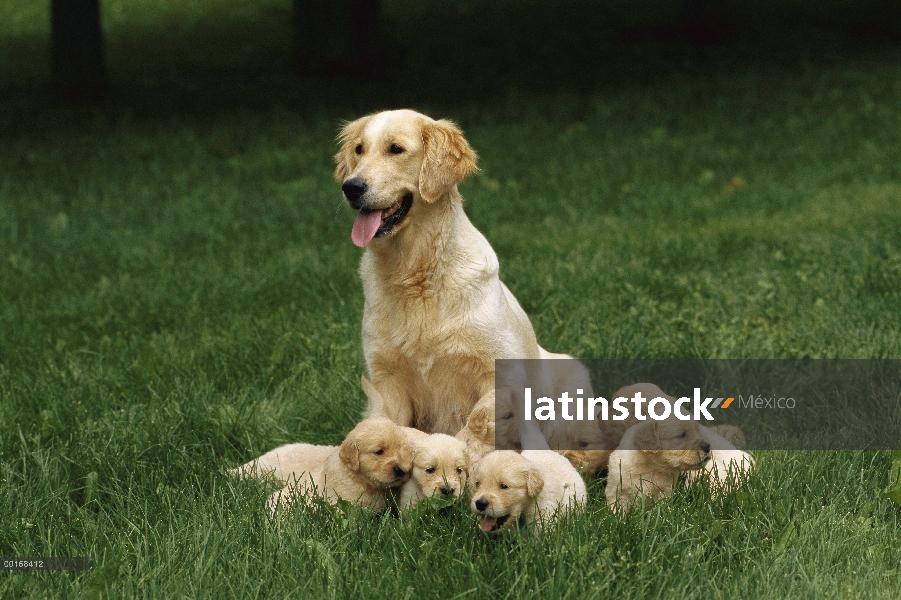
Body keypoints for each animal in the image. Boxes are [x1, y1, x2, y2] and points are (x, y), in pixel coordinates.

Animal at [334, 108, 596, 438]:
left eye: (396, 149)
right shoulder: (387, 380)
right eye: (359, 149)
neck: (415, 273)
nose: (351, 187)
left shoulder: (495, 374)